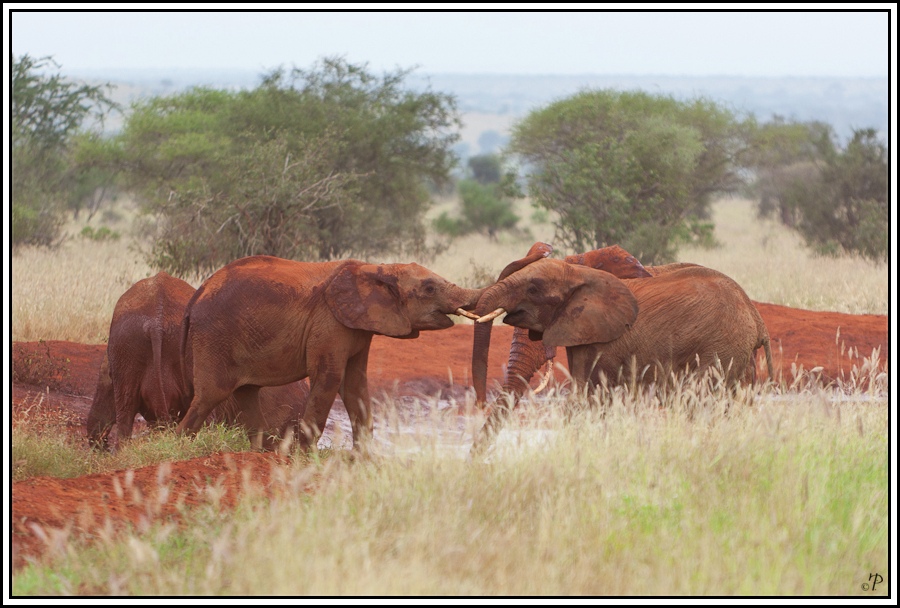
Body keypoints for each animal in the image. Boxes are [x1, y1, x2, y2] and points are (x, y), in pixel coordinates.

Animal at [177, 253, 486, 452]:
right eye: (429, 288)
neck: (376, 268)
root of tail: (198, 294)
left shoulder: (358, 326)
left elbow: (355, 384)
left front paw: (363, 459)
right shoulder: (328, 321)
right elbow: (329, 378)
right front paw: (303, 457)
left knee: (247, 393)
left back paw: (259, 454)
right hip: (215, 336)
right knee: (211, 395)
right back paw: (180, 445)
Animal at [472, 248, 772, 452]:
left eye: (533, 289)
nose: (481, 404)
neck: (582, 272)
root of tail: (757, 318)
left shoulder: (606, 339)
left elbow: (588, 398)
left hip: (721, 347)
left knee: (697, 402)